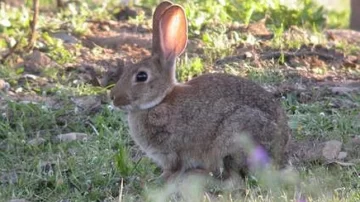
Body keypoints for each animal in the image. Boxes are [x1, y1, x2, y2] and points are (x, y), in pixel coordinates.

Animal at [111, 0, 292, 182]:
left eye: (141, 76)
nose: (113, 97)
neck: (160, 101)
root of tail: (280, 147)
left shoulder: (172, 151)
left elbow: (173, 169)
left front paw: (158, 181)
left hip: (234, 137)